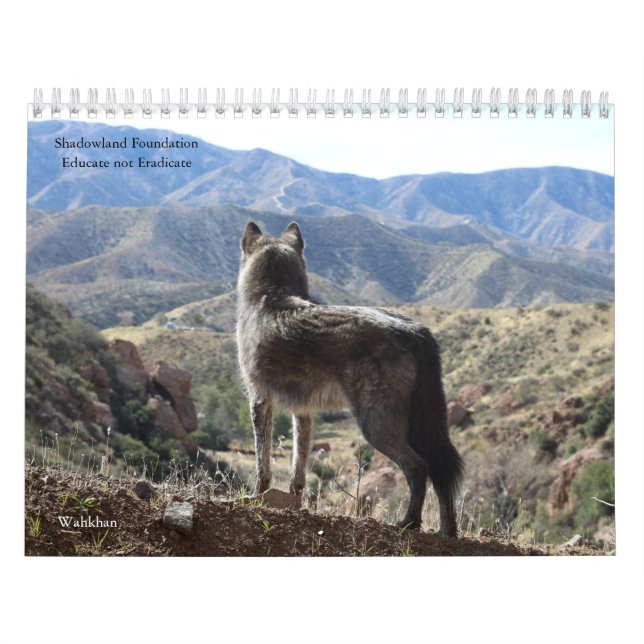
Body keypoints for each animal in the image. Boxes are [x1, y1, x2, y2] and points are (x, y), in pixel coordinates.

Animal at [236, 221, 464, 537]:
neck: (271, 296)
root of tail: (417, 331)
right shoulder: (303, 411)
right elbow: (298, 469)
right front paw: (294, 503)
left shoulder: (259, 402)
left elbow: (262, 464)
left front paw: (256, 497)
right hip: (422, 426)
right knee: (442, 470)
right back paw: (446, 532)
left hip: (375, 427)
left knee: (419, 467)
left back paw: (408, 523)